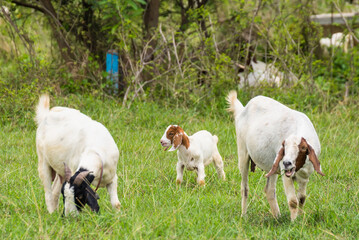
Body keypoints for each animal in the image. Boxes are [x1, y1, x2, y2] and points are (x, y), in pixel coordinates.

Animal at [228, 91, 326, 220]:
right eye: (284, 146)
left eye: (303, 148)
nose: (286, 163)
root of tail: (243, 109)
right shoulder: (286, 174)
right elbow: (293, 201)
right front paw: (294, 221)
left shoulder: (305, 176)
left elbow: (301, 199)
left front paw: (300, 219)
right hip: (242, 152)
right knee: (244, 188)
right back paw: (243, 216)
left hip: (272, 166)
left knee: (269, 190)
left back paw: (277, 217)